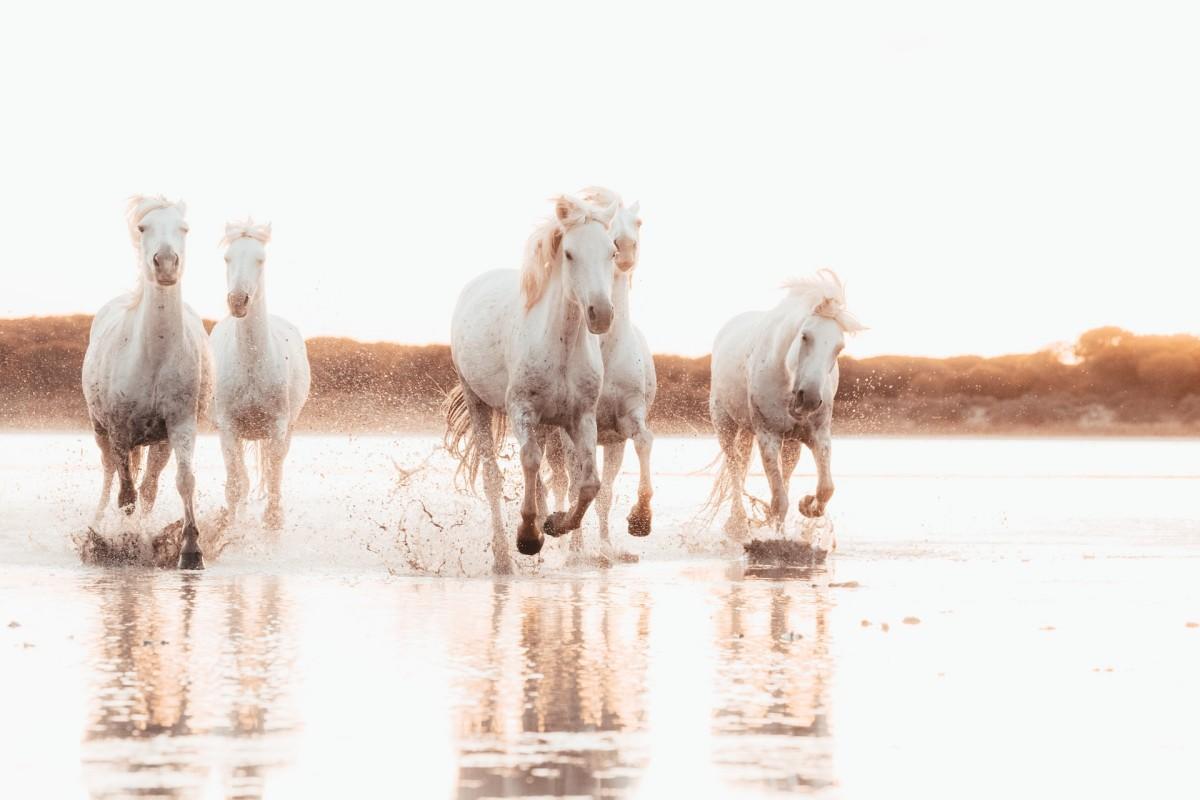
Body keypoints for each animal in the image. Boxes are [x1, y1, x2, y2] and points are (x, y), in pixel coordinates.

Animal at [83, 194, 214, 568]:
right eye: (143, 227)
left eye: (184, 228)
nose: (166, 264)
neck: (153, 355)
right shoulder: (118, 430)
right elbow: (125, 494)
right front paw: (124, 544)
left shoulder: (180, 425)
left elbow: (183, 482)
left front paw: (191, 551)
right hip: (101, 430)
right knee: (109, 475)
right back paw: (98, 525)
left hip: (158, 441)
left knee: (149, 488)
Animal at [212, 219, 314, 532]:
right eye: (227, 258)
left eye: (261, 259)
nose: (238, 301)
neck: (251, 365)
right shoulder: (228, 428)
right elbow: (235, 485)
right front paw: (233, 526)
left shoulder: (278, 427)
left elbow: (274, 471)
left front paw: (273, 519)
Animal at [448, 194, 624, 568]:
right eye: (569, 253)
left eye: (612, 252)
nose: (601, 314)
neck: (560, 343)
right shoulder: (522, 410)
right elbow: (528, 462)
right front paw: (528, 537)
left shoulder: (581, 418)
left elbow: (589, 483)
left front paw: (555, 524)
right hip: (477, 401)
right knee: (493, 478)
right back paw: (503, 558)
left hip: (546, 423)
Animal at [700, 268, 864, 537]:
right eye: (805, 336)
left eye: (839, 347)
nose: (809, 399)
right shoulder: (768, 436)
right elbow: (779, 502)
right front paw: (777, 540)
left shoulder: (818, 435)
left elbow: (825, 488)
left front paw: (808, 506)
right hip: (724, 425)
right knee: (734, 467)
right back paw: (737, 523)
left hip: (788, 443)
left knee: (775, 473)